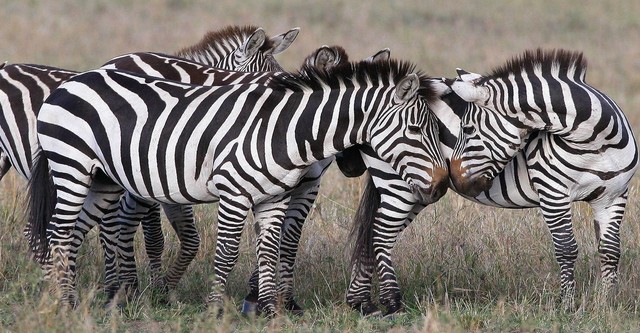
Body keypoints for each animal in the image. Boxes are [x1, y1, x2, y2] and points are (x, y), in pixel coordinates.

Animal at [28, 58, 444, 316]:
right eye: (416, 130)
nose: (441, 185)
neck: (283, 131)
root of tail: (71, 81)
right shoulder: (233, 192)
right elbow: (227, 253)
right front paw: (216, 307)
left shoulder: (274, 199)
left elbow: (270, 251)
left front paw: (269, 310)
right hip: (71, 165)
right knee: (59, 231)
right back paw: (64, 302)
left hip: (102, 180)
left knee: (74, 233)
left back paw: (71, 296)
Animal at [448, 47, 636, 306]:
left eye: (466, 129)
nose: (454, 178)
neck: (596, 143)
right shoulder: (553, 193)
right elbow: (566, 248)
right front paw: (567, 305)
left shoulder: (614, 196)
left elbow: (610, 250)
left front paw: (607, 303)